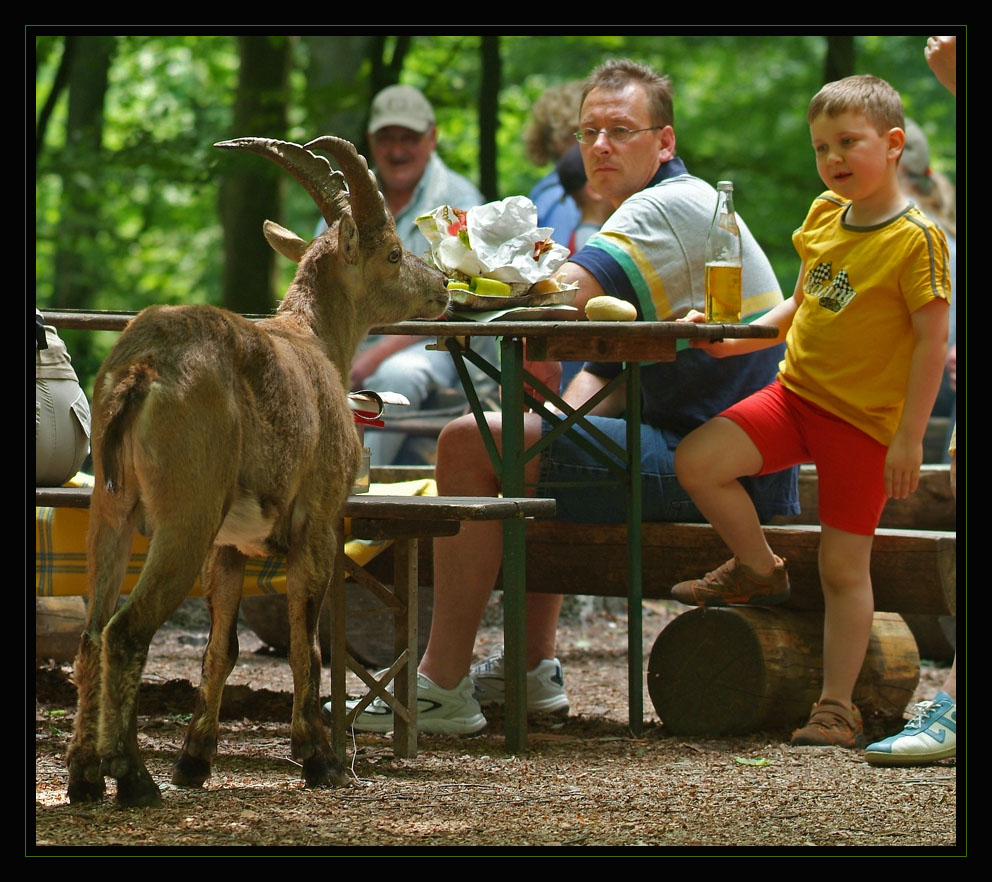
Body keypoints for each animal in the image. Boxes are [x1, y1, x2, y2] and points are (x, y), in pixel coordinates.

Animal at [64, 136, 448, 804]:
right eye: (395, 252)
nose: (445, 284)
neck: (315, 344)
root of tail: (141, 370)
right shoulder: (317, 524)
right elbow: (306, 644)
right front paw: (320, 760)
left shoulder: (229, 545)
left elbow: (222, 647)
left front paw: (195, 760)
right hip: (184, 514)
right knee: (126, 630)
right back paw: (132, 777)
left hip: (112, 510)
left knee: (91, 635)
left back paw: (86, 777)